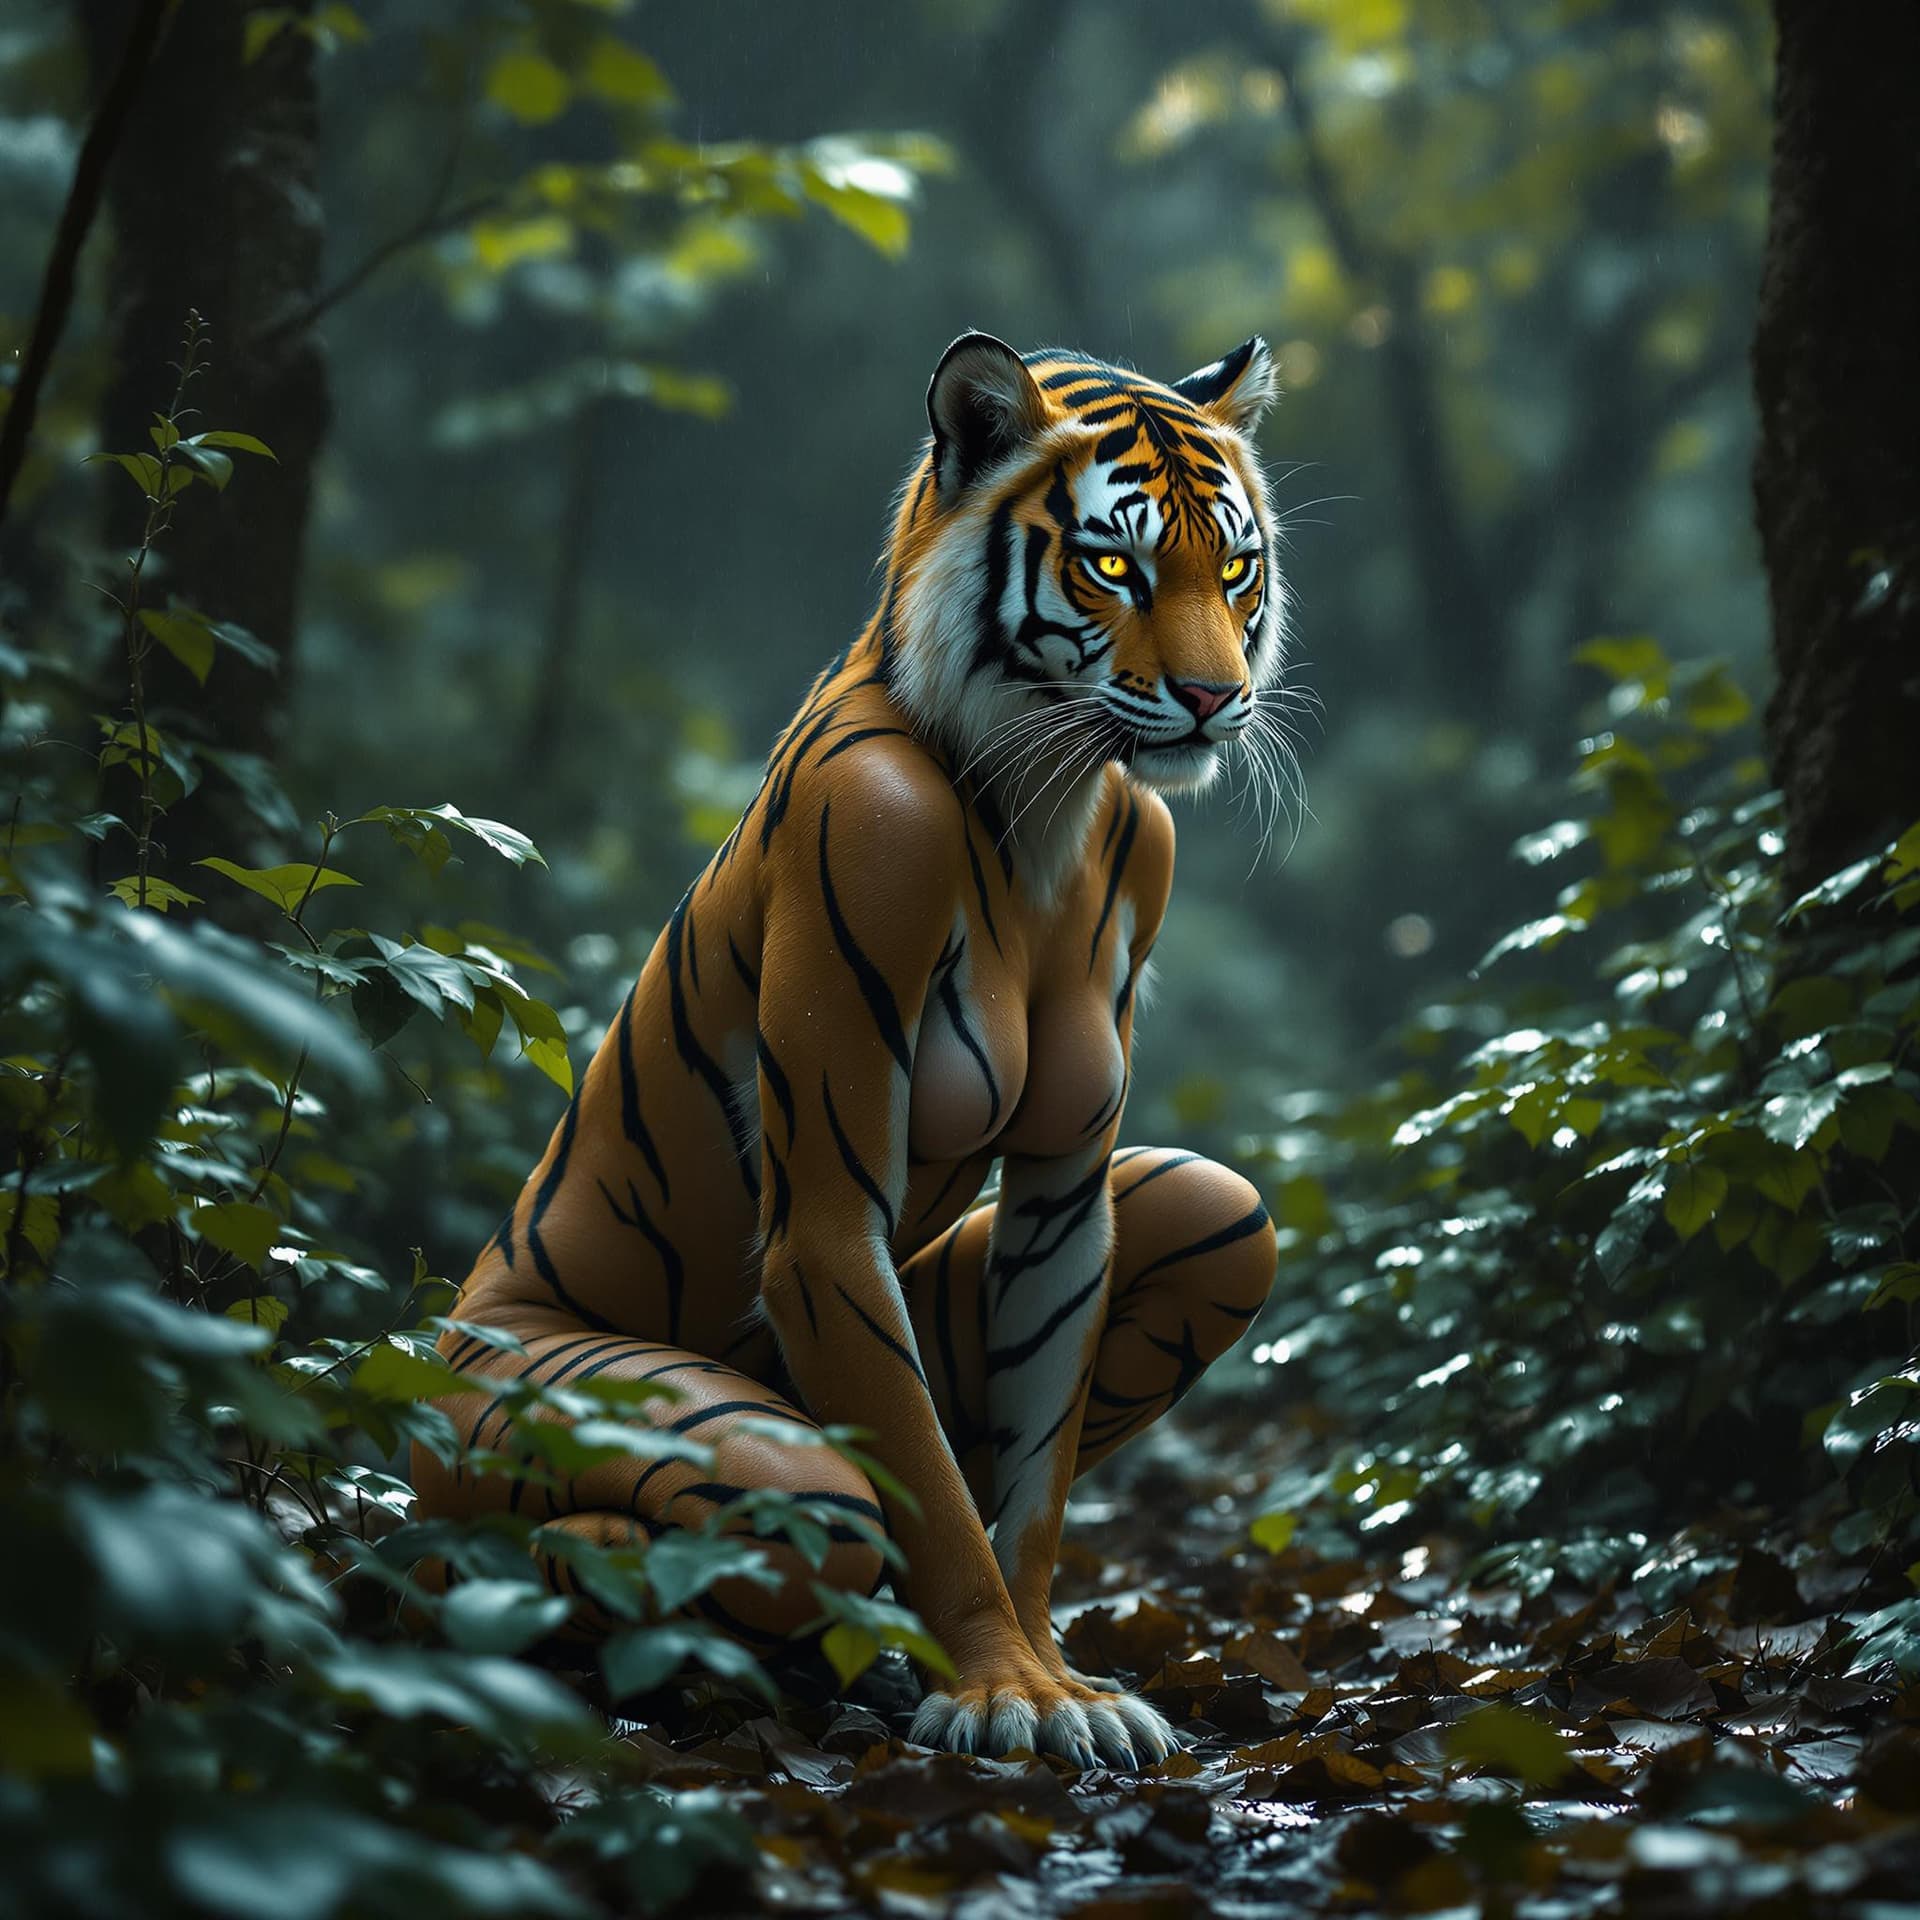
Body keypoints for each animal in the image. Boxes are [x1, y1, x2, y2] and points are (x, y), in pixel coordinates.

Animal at [415, 332, 1289, 1769]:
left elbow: (1025, 1484)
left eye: (1236, 567)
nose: (1221, 699)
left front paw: (1056, 1678)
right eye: (1115, 567)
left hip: (1194, 1223)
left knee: (1212, 1213)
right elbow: (918, 1479)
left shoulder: (1065, 1203)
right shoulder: (868, 860)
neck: (1040, 800)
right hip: (529, 1399)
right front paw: (1003, 1689)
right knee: (796, 1507)